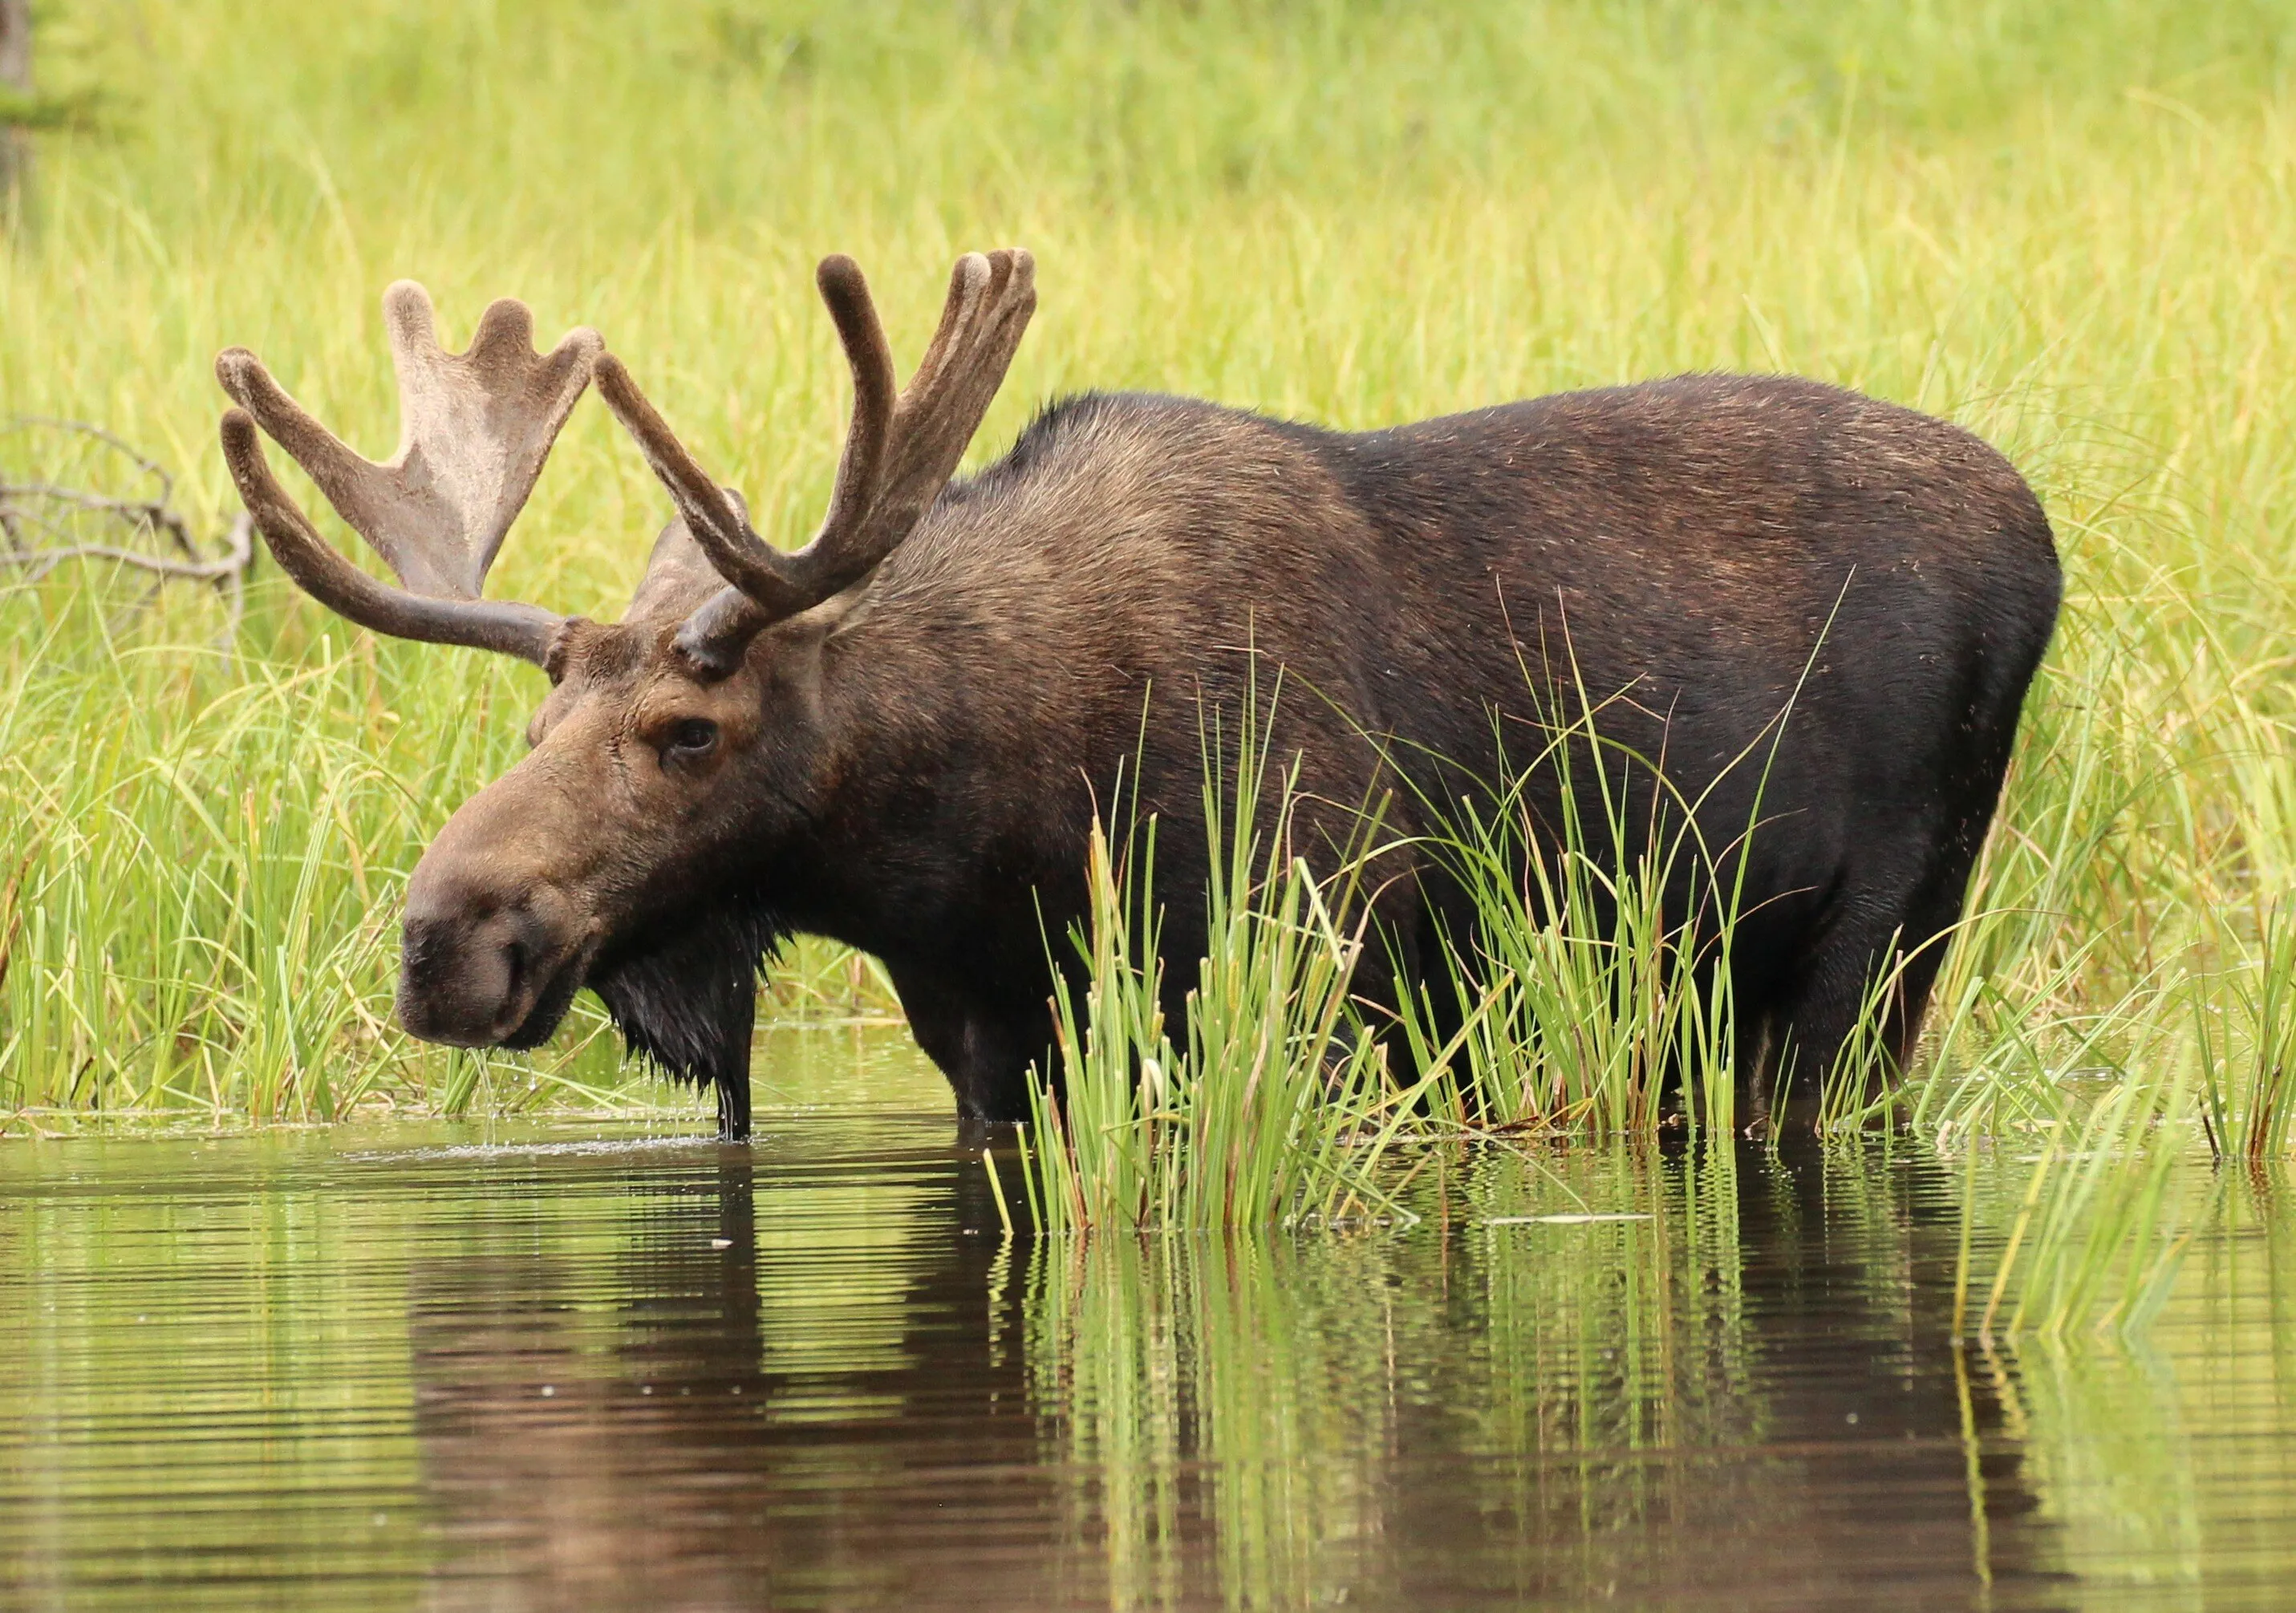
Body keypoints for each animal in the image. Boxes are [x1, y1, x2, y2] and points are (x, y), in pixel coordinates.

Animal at [216, 249, 2060, 1139]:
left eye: (688, 734)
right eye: (532, 730)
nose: (443, 940)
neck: (980, 834)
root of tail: (2040, 536)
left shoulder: (1337, 968)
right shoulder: (983, 1031)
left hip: (1884, 932)